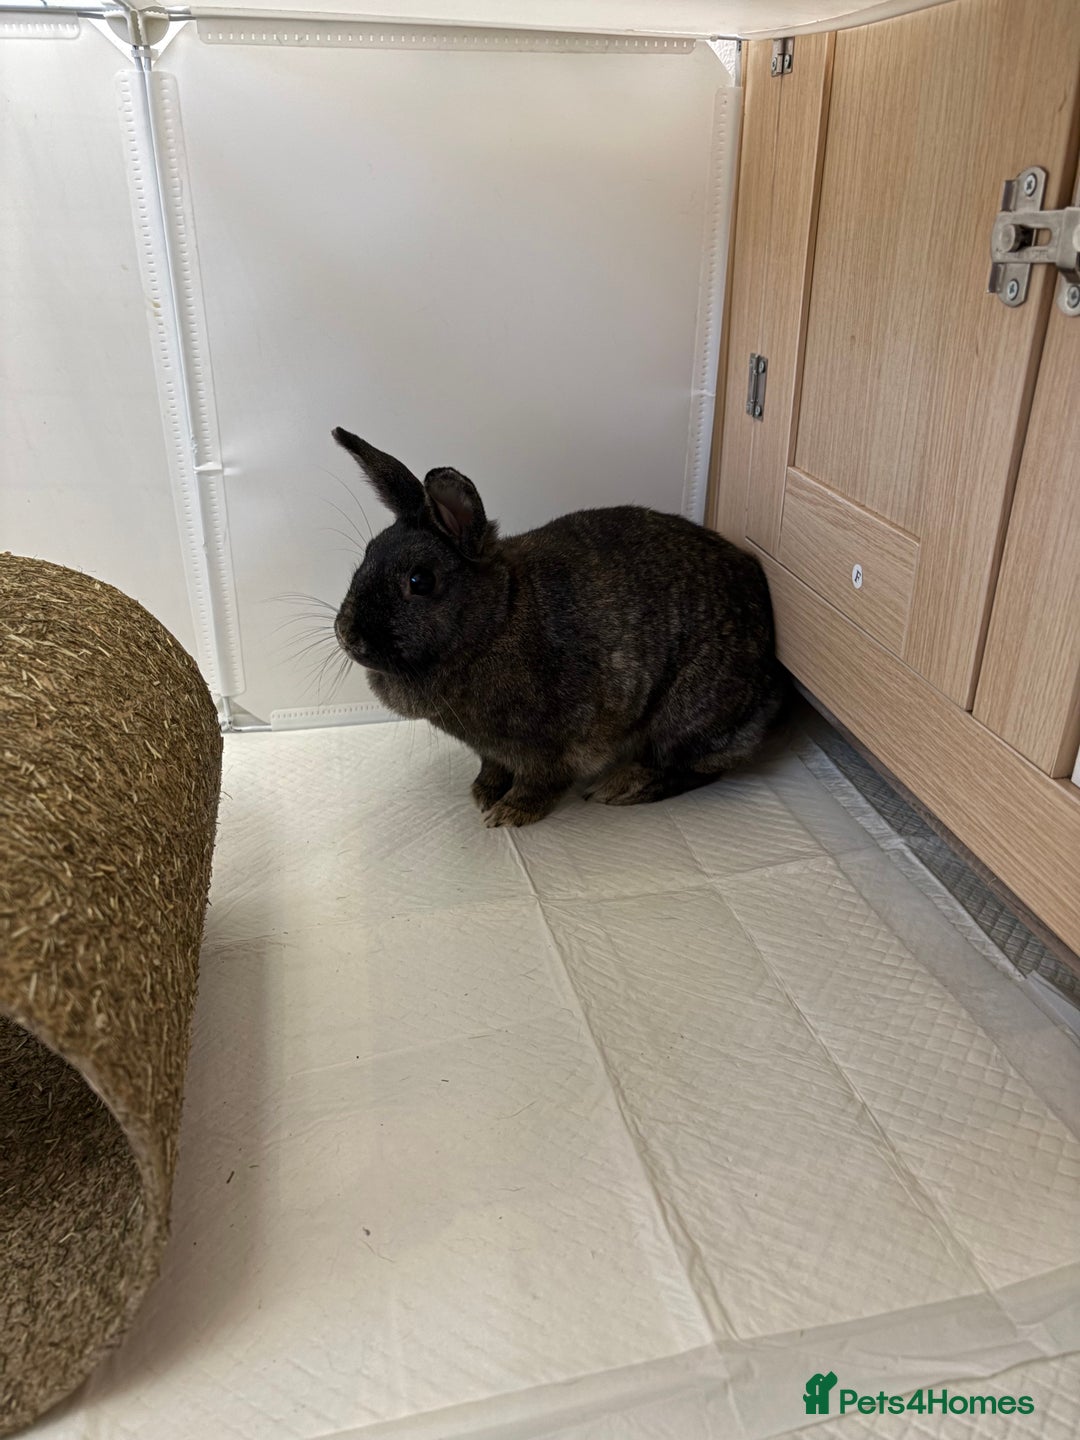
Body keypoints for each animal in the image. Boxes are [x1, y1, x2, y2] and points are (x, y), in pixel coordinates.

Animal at [331, 428, 787, 827]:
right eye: (368, 554)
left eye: (420, 581)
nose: (346, 634)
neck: (497, 619)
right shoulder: (492, 749)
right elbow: (492, 766)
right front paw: (483, 793)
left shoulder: (551, 745)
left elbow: (539, 781)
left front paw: (509, 814)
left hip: (685, 716)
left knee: (699, 765)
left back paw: (620, 787)